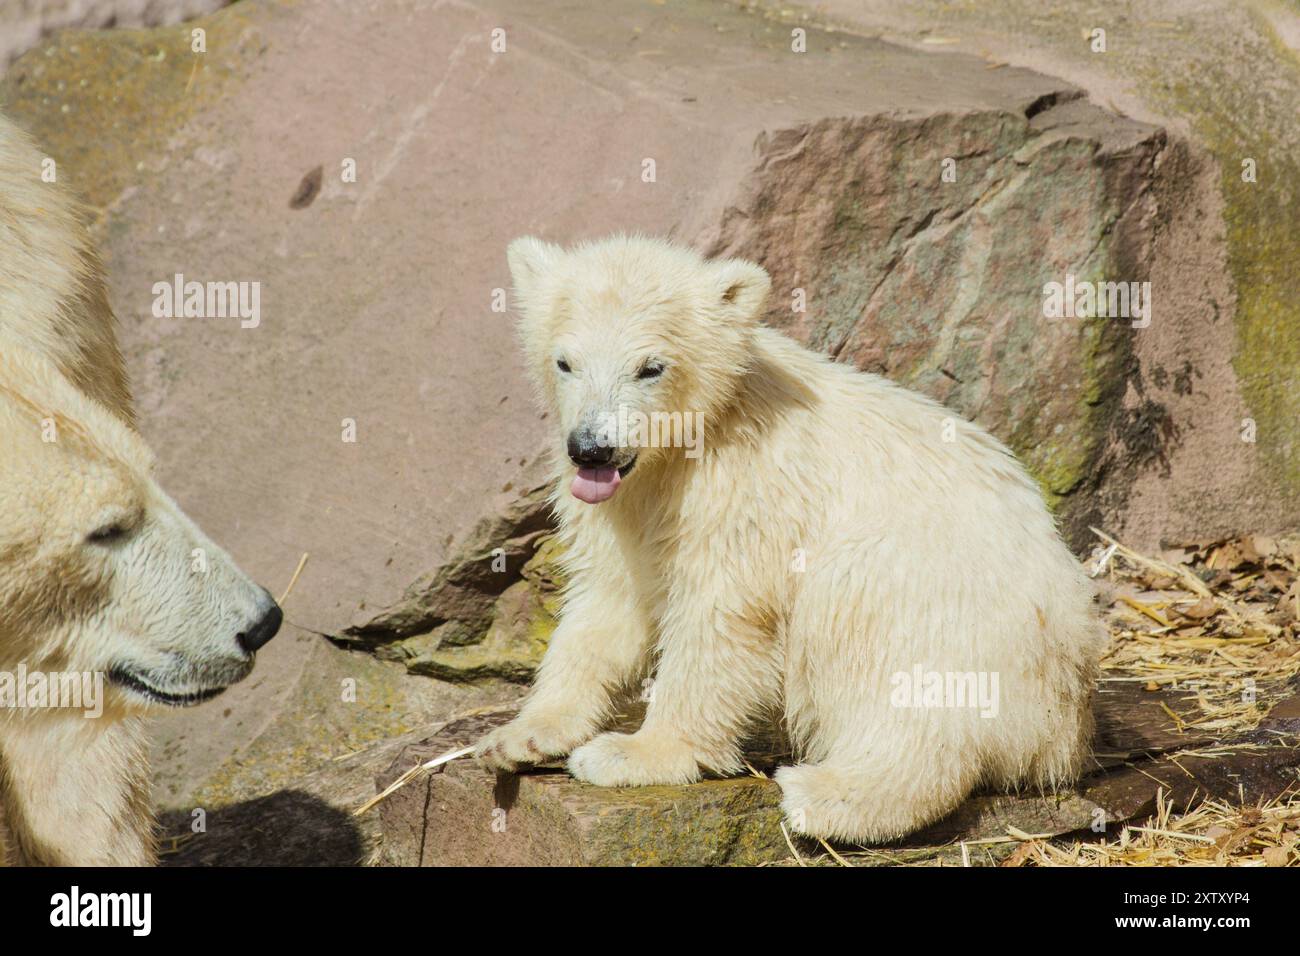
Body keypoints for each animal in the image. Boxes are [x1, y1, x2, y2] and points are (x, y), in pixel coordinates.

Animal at [478, 235, 1107, 842]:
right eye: (565, 361)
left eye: (650, 367)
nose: (592, 448)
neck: (687, 444)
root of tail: (1064, 725)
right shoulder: (625, 504)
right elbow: (607, 602)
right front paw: (520, 736)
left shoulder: (747, 487)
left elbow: (722, 616)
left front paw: (632, 753)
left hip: (956, 610)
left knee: (870, 633)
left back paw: (830, 798)